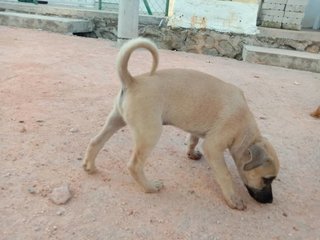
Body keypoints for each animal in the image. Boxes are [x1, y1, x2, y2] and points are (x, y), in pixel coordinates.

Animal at [83, 38, 280, 210]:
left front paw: (191, 153)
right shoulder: (213, 147)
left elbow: (193, 139)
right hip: (150, 133)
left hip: (115, 120)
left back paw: (89, 167)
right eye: (267, 179)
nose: (270, 201)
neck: (245, 128)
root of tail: (133, 80)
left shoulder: (198, 131)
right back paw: (150, 187)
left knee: (95, 142)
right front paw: (233, 199)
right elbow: (225, 174)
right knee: (134, 165)